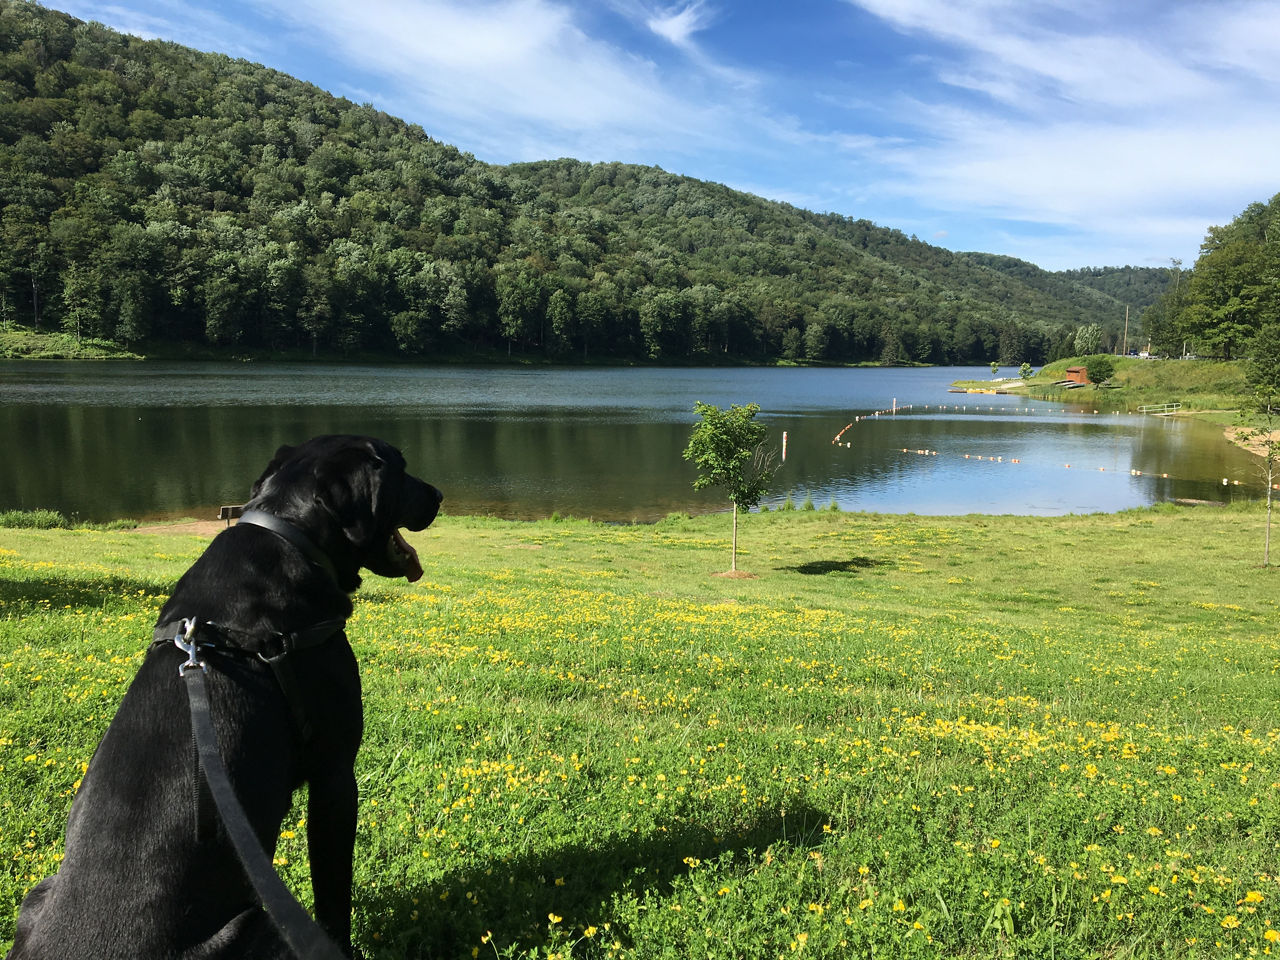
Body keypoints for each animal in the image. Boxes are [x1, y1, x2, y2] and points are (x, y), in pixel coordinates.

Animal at [7, 437, 442, 960]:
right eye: (399, 466)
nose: (439, 495)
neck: (290, 533)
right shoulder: (335, 774)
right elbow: (333, 895)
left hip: (37, 894)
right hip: (260, 923)